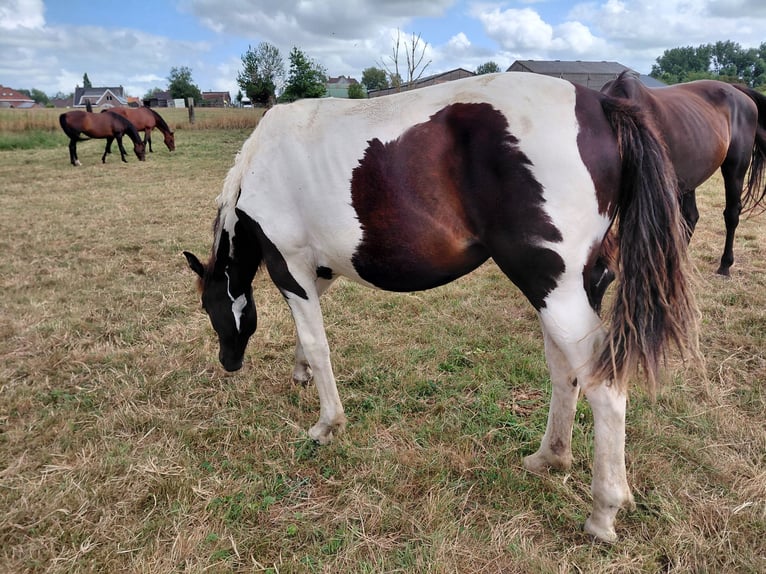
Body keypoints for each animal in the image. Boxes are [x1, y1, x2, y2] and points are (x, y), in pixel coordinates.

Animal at [183, 73, 700, 542]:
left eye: (209, 307)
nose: (228, 362)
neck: (262, 164)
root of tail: (599, 106)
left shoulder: (290, 266)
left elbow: (317, 342)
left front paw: (327, 424)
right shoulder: (318, 272)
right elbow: (306, 336)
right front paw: (300, 372)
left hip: (554, 288)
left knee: (604, 386)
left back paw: (602, 513)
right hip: (574, 289)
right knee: (565, 371)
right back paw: (549, 457)